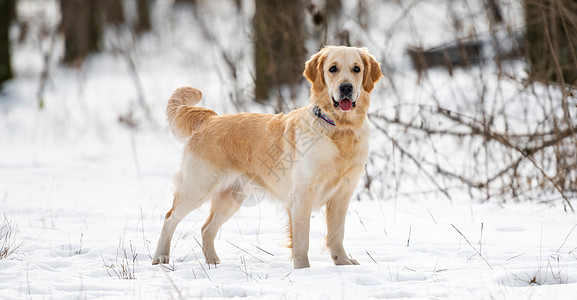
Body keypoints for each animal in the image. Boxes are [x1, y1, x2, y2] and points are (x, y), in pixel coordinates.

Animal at [151, 45, 380, 268]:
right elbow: (302, 241)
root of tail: (209, 119)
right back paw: (161, 257)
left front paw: (342, 262)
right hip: (198, 187)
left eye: (356, 69)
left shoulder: (342, 194)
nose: (346, 87)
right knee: (170, 218)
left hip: (232, 196)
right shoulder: (302, 195)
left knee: (206, 229)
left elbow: (336, 234)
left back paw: (213, 262)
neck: (340, 129)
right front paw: (303, 270)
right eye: (333, 69)